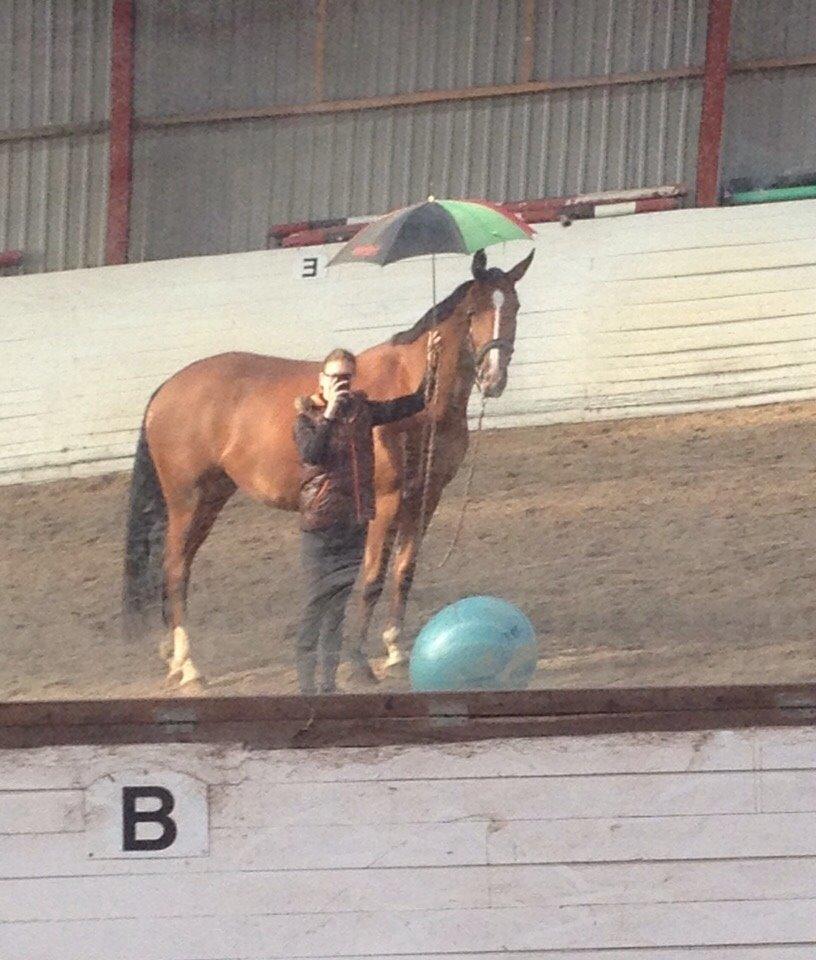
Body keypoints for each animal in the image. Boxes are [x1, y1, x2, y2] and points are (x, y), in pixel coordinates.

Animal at [119, 248, 528, 684]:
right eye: (472, 312)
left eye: (514, 306)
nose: (493, 378)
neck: (419, 400)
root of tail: (167, 388)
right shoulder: (385, 502)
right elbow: (373, 577)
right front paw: (360, 659)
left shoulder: (425, 498)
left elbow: (404, 572)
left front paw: (394, 649)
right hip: (187, 500)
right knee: (175, 570)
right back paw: (191, 666)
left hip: (210, 499)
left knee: (176, 569)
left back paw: (175, 659)